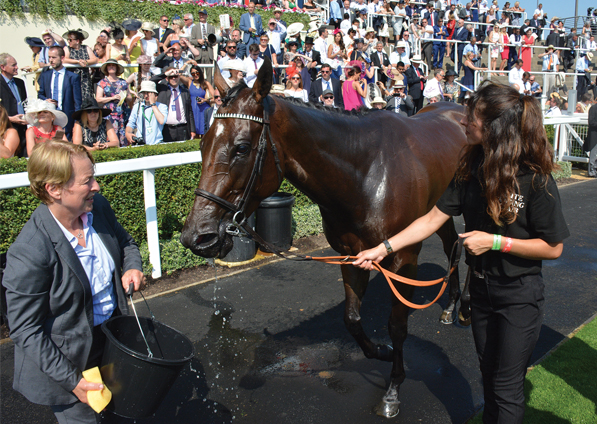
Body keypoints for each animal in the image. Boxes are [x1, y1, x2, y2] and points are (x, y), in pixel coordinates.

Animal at [180, 63, 470, 418]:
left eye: (242, 147)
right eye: (203, 143)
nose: (198, 235)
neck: (368, 173)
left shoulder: (404, 260)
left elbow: (397, 325)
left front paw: (392, 389)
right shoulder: (352, 255)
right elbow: (352, 319)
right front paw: (383, 351)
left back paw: (463, 306)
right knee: (451, 245)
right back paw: (450, 305)